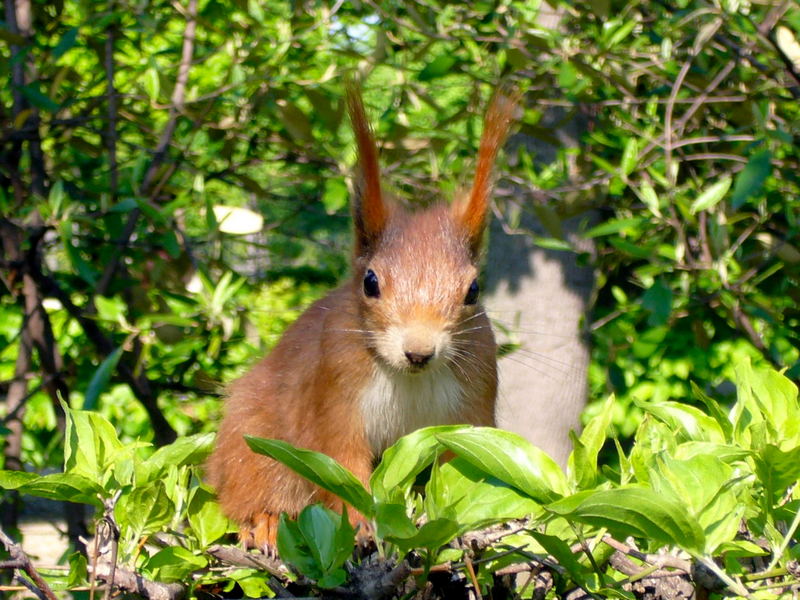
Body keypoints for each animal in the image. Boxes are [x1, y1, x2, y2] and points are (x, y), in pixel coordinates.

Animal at [206, 84, 520, 552]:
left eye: (473, 290)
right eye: (370, 282)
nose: (419, 352)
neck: (408, 379)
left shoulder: (474, 402)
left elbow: (457, 471)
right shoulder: (333, 389)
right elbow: (341, 465)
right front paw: (358, 526)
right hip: (253, 447)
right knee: (255, 487)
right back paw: (265, 522)